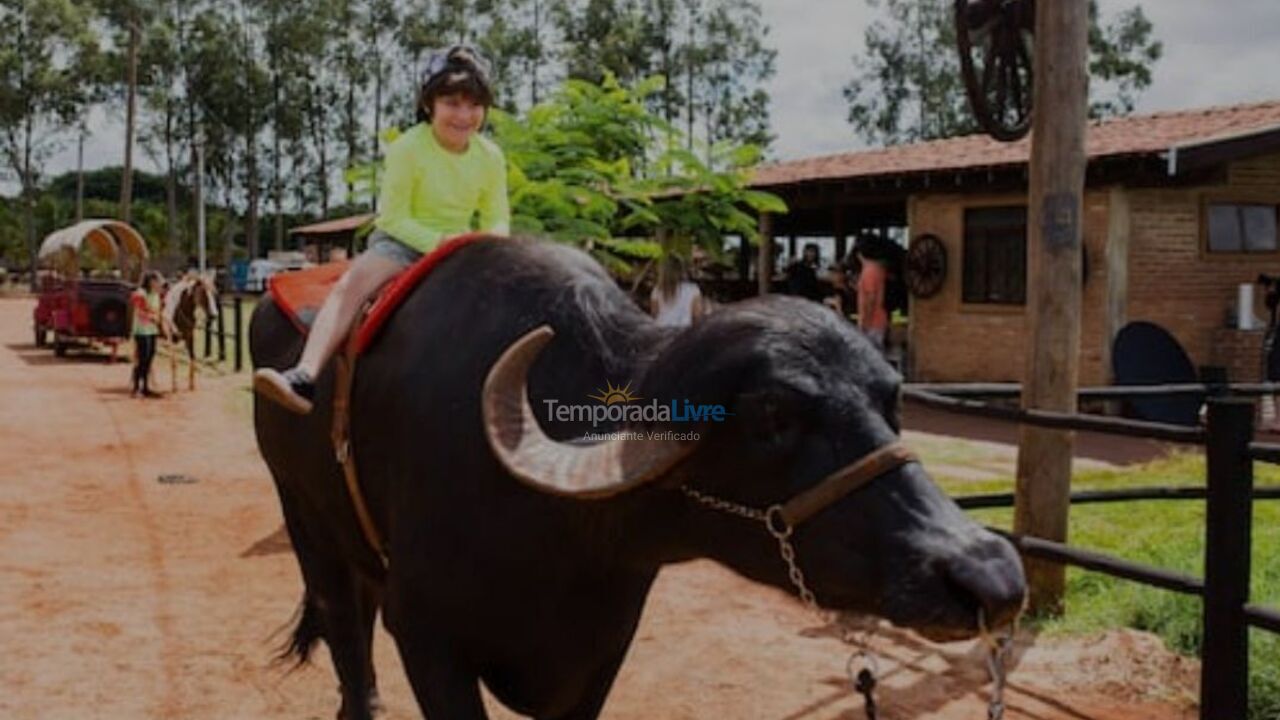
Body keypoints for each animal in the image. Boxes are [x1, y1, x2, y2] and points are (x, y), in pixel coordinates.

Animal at [252, 235, 1029, 717]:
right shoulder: (428, 637)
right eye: (772, 416)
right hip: (302, 515)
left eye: (891, 400)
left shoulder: (601, 652)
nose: (991, 575)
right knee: (346, 634)